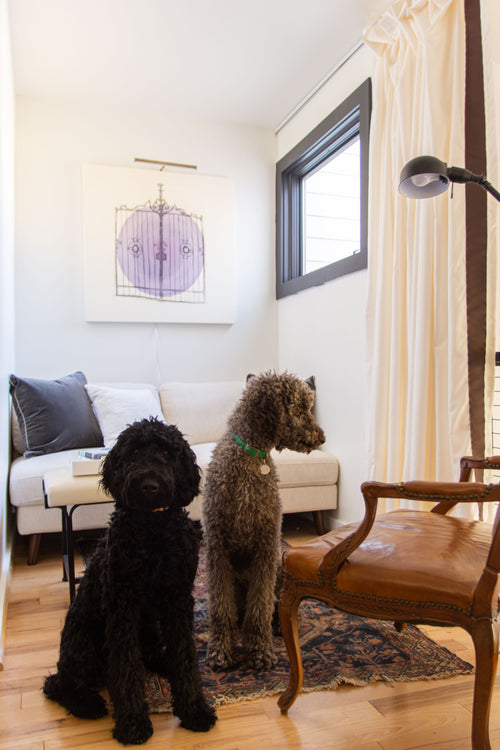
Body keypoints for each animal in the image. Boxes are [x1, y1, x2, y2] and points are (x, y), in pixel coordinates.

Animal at [42, 418, 215, 748]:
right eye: (133, 452)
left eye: (166, 452)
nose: (150, 486)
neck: (154, 530)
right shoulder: (122, 610)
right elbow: (125, 668)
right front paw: (133, 723)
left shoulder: (178, 602)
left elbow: (185, 655)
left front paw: (194, 709)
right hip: (85, 643)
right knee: (58, 683)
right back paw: (87, 703)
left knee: (151, 656)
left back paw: (163, 664)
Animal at [201, 374, 326, 672]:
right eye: (300, 408)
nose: (322, 437)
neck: (250, 456)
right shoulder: (217, 550)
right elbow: (221, 609)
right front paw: (220, 650)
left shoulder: (265, 549)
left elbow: (260, 609)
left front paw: (259, 650)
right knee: (236, 611)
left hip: (279, 568)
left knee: (274, 605)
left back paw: (279, 625)